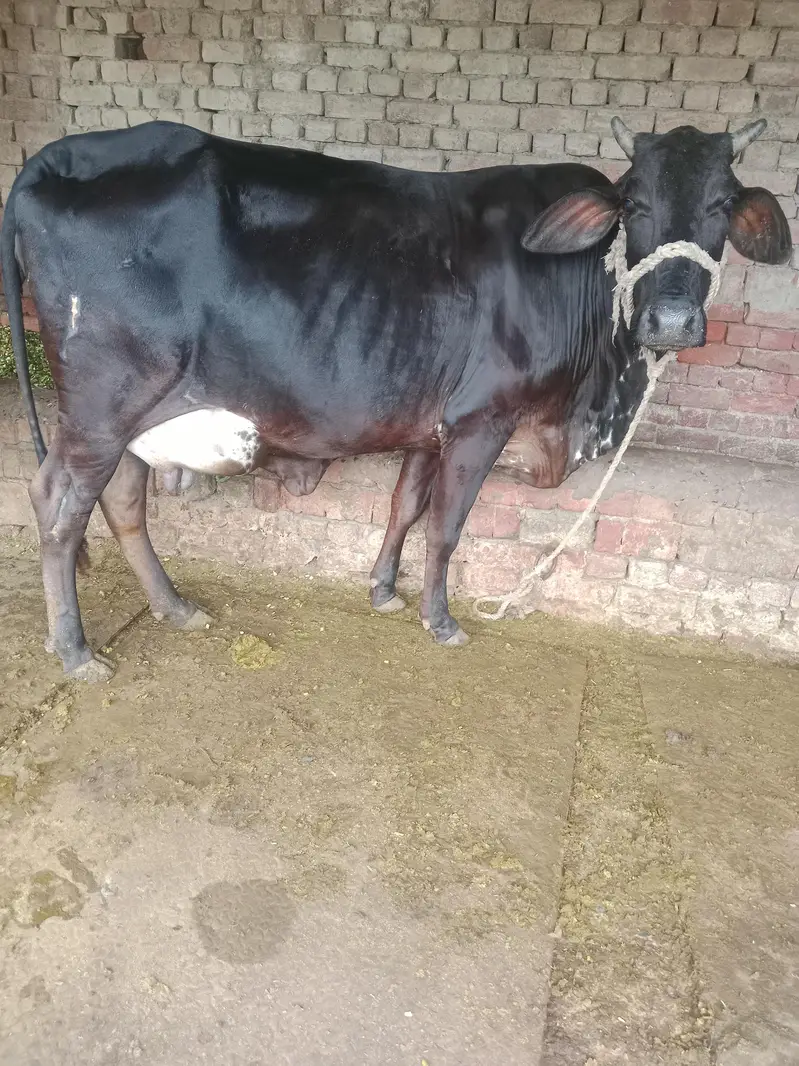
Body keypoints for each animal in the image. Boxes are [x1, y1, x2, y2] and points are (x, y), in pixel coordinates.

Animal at [1, 117, 789, 681]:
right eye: (634, 203)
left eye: (723, 204)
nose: (672, 321)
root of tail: (56, 157)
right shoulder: (482, 419)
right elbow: (446, 526)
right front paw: (440, 620)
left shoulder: (429, 424)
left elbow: (405, 505)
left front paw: (383, 588)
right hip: (101, 407)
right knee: (58, 505)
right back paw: (75, 652)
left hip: (137, 415)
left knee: (123, 503)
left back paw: (173, 607)